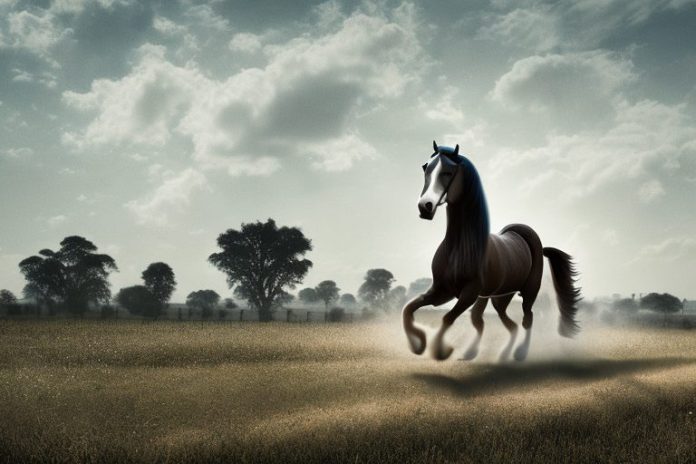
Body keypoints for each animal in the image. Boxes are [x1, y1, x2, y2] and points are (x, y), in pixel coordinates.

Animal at [402, 141, 582, 361]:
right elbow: (409, 308)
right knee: (502, 323)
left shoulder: (469, 293)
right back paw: (488, 354)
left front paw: (442, 350)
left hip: (527, 292)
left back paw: (519, 354)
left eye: (448, 171)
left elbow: (447, 318)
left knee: (526, 319)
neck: (459, 248)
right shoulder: (442, 290)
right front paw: (418, 343)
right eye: (425, 167)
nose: (425, 207)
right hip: (498, 297)